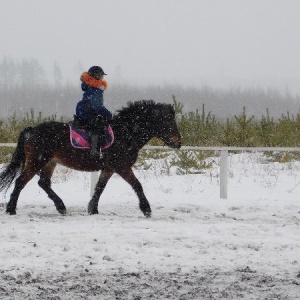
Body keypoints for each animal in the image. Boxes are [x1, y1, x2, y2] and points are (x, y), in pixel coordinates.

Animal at [0, 100, 182, 216]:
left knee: (43, 183)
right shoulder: (122, 167)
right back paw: (11, 209)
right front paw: (146, 209)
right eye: (167, 120)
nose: (178, 142)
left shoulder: (109, 168)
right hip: (37, 161)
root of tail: (31, 130)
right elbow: (137, 185)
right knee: (21, 182)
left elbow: (100, 187)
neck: (126, 133)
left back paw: (61, 207)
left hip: (50, 162)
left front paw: (92, 209)